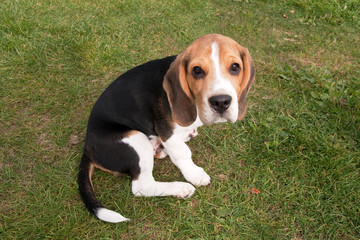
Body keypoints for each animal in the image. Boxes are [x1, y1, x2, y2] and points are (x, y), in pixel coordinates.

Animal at [77, 33, 255, 223]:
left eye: (235, 67)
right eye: (197, 70)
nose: (221, 102)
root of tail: (87, 148)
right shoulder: (167, 132)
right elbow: (183, 154)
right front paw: (194, 174)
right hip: (135, 138)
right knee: (142, 186)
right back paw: (181, 188)